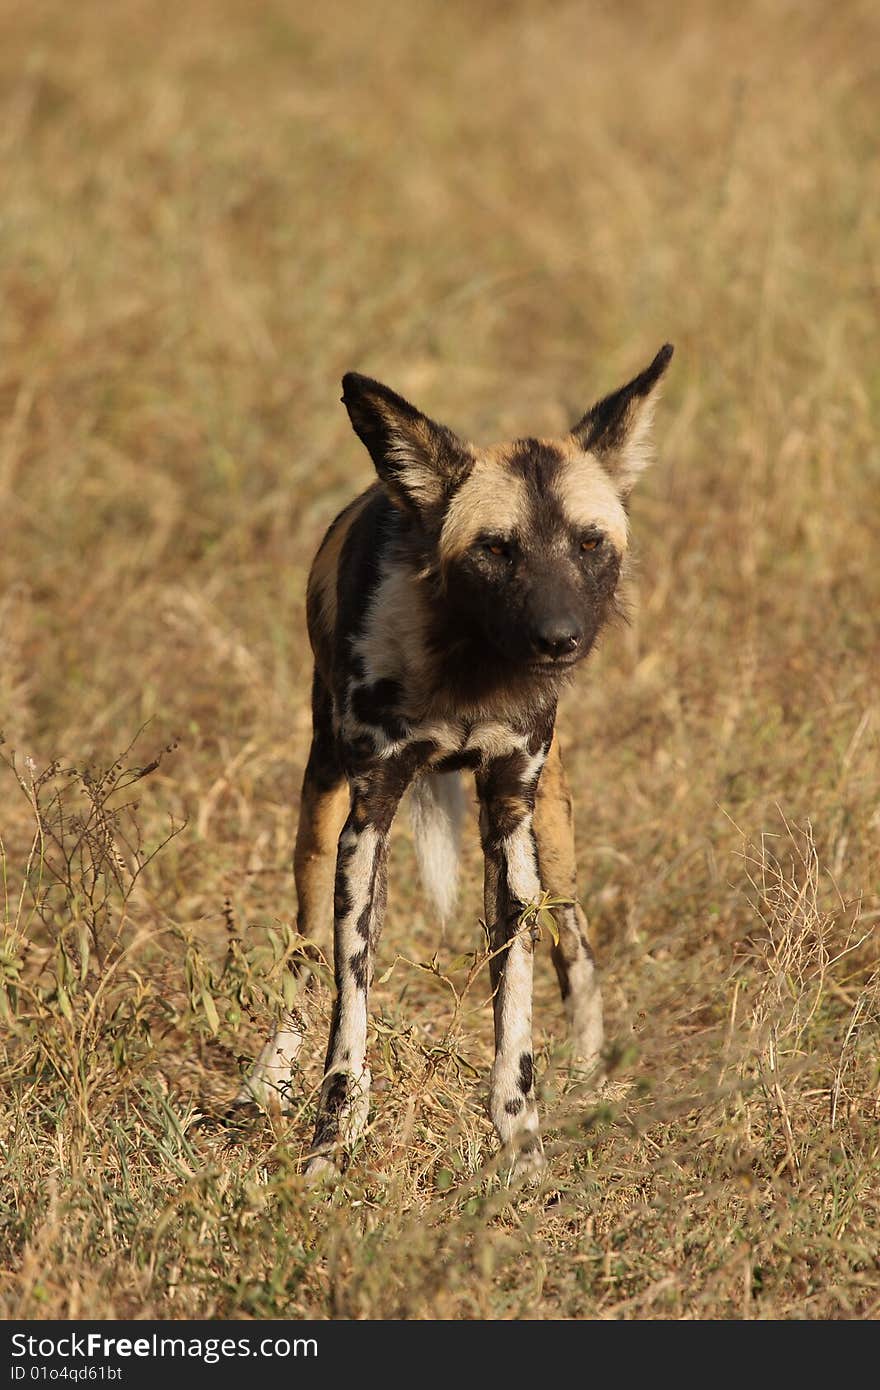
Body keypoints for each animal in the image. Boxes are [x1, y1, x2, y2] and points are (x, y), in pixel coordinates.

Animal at [240, 341, 672, 1178]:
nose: (560, 639)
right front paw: (331, 1146)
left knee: (577, 945)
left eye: (590, 542)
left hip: (553, 836)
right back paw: (268, 1080)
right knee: (304, 954)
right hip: (319, 817)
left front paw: (522, 1146)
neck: (468, 668)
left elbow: (516, 1008)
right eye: (496, 550)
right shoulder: (366, 822)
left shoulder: (509, 822)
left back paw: (591, 1082)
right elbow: (350, 1006)